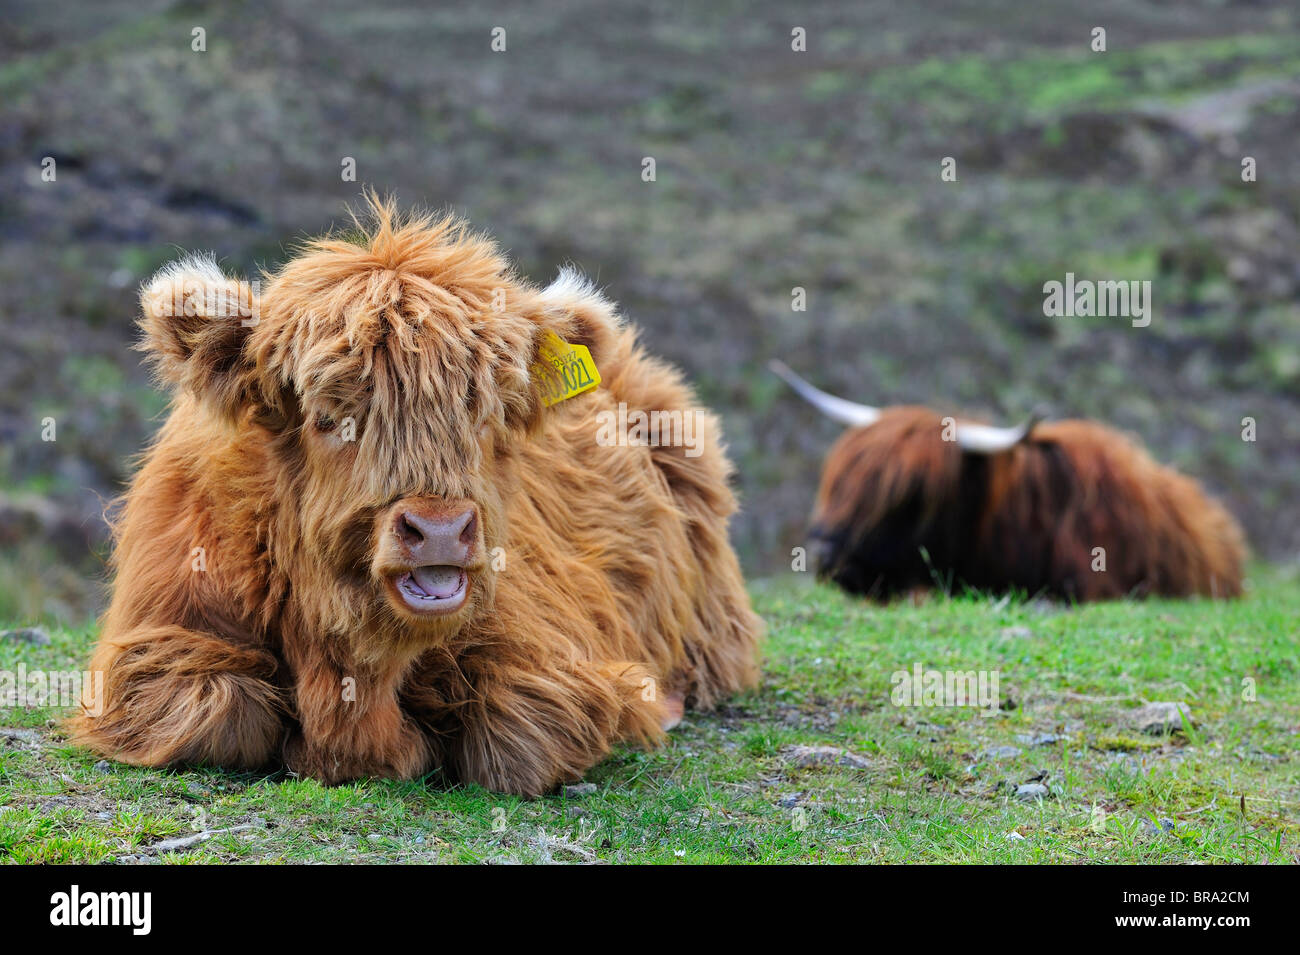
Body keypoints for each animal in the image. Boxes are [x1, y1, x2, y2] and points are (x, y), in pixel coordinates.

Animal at [71, 197, 759, 795]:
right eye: (330, 417)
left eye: (485, 414)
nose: (440, 530)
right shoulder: (149, 652)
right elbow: (225, 714)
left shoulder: (556, 655)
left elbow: (514, 741)